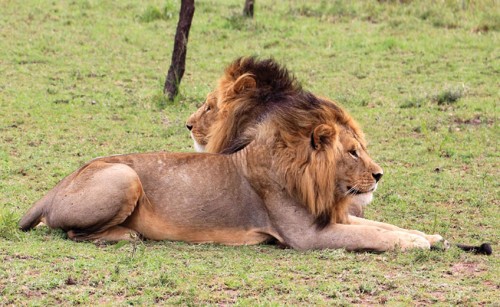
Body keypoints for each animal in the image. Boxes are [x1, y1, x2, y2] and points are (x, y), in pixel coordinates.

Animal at [17, 60, 444, 253]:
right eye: (353, 152)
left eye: (363, 149)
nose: (380, 174)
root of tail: (54, 188)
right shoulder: (306, 236)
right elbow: (371, 234)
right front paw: (418, 243)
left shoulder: (332, 217)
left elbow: (384, 226)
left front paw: (428, 236)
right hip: (125, 176)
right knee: (73, 232)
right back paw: (128, 234)